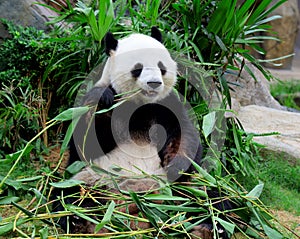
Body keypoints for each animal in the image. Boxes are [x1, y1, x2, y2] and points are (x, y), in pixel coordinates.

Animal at [52, 27, 232, 238]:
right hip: (94, 179)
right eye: (138, 68)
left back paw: (207, 227)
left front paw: (175, 165)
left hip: (187, 188)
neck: (140, 104)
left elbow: (184, 135)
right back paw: (78, 220)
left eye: (161, 67)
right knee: (68, 197)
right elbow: (86, 143)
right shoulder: (95, 102)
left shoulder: (166, 105)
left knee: (212, 199)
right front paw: (104, 100)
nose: (154, 83)